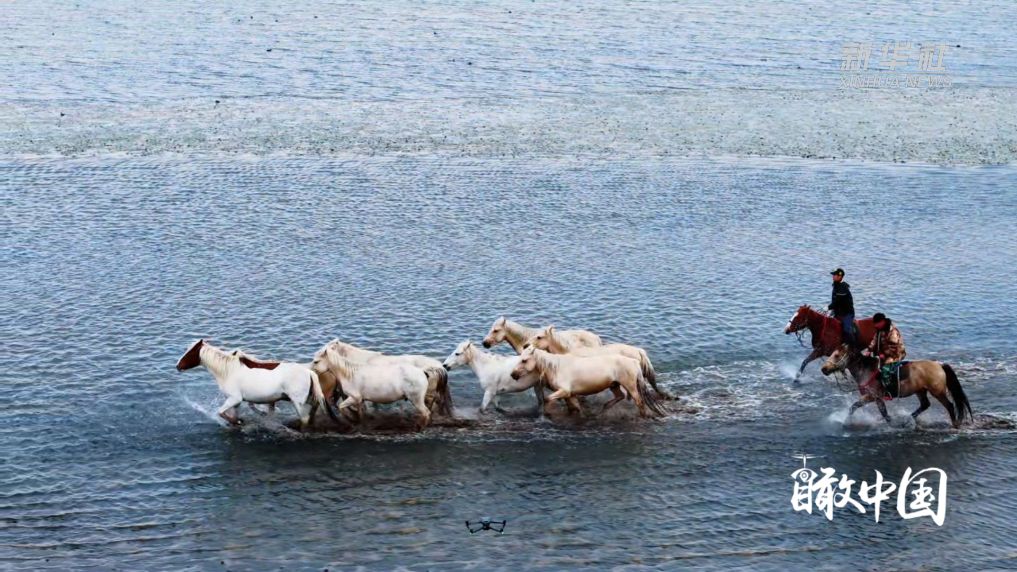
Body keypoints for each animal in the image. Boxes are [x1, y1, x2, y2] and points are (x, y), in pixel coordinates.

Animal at [176, 340, 338, 430]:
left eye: (190, 353)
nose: (177, 366)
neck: (228, 371)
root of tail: (309, 372)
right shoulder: (235, 402)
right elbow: (232, 414)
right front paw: (238, 422)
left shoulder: (234, 398)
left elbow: (220, 412)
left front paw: (239, 422)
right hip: (307, 398)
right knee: (315, 409)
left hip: (298, 402)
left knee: (305, 418)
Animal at [510, 346, 666, 418]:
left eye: (524, 360)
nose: (513, 375)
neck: (556, 367)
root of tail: (634, 361)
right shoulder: (570, 394)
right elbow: (575, 407)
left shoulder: (565, 391)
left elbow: (548, 398)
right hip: (614, 385)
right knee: (620, 396)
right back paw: (603, 408)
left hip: (630, 386)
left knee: (639, 402)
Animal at [821, 344, 972, 429]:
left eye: (837, 355)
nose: (824, 369)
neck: (866, 370)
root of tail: (939, 365)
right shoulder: (876, 398)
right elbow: (882, 413)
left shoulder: (873, 396)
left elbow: (856, 407)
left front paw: (846, 422)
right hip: (920, 390)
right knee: (925, 404)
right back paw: (908, 419)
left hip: (937, 392)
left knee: (950, 406)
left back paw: (955, 424)